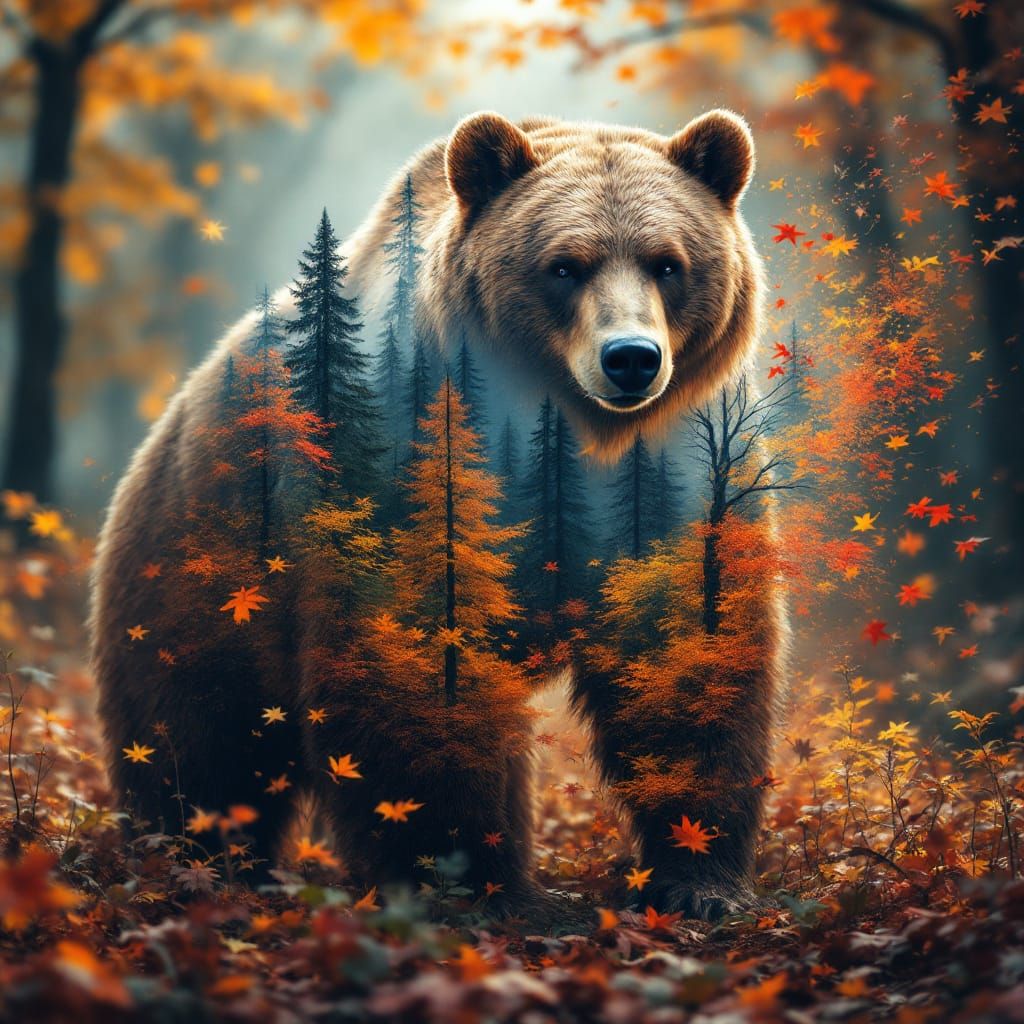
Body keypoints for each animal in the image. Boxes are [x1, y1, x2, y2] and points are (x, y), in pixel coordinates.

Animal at [91, 109, 781, 921]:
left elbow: (689, 648)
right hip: (199, 567)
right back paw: (198, 858)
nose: (631, 358)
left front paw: (702, 881)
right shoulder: (408, 465)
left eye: (666, 262)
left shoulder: (677, 477)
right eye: (564, 266)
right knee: (200, 738)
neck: (571, 433)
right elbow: (417, 664)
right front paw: (471, 881)